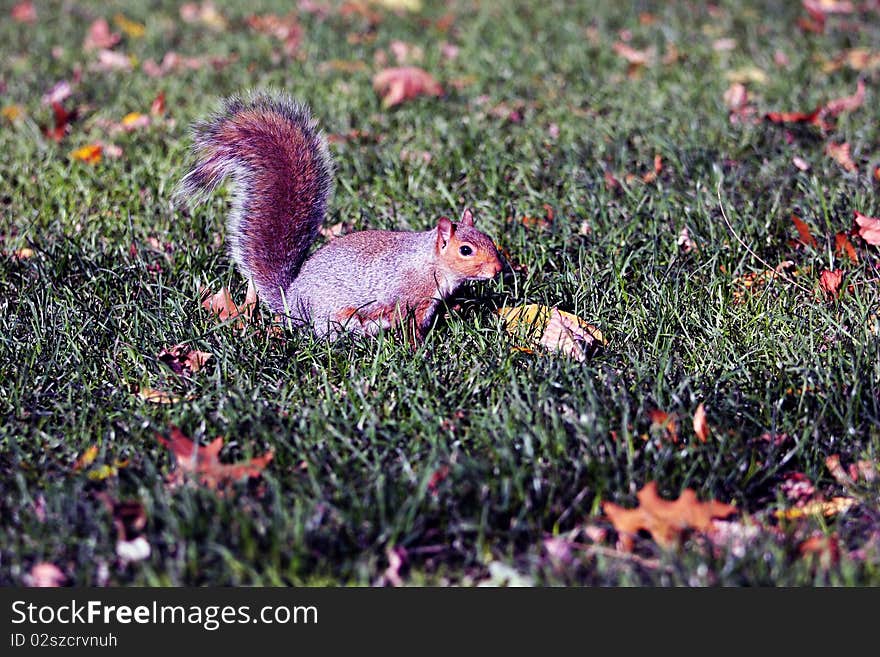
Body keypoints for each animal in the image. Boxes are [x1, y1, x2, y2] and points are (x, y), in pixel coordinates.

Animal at [177, 93, 502, 338]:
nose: (499, 269)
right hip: (336, 317)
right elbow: (410, 326)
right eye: (465, 250)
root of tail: (292, 300)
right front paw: (418, 349)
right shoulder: (408, 298)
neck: (430, 262)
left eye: (489, 239)